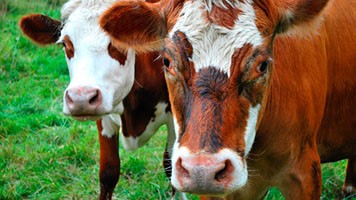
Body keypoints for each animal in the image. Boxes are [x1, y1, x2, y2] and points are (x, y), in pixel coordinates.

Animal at [17, 0, 178, 199]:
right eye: (65, 43)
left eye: (118, 41)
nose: (80, 99)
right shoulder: (103, 116)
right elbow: (108, 172)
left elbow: (172, 167)